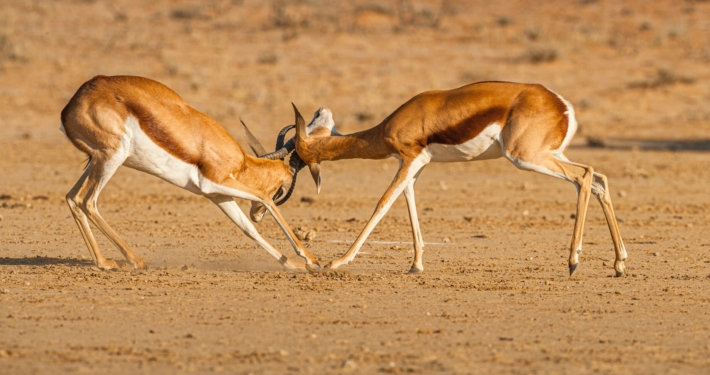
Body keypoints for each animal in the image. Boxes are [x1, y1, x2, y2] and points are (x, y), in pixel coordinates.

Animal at [61, 75, 322, 272]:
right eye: (282, 189)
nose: (256, 215)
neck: (242, 163)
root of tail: (70, 107)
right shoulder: (214, 182)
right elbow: (264, 198)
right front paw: (312, 261)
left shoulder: (217, 194)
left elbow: (248, 229)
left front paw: (295, 265)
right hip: (111, 158)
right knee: (88, 201)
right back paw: (133, 261)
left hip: (96, 161)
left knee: (72, 198)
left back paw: (103, 262)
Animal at [249, 81, 628, 276]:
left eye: (295, 157)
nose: (258, 212)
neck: (389, 126)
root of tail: (561, 105)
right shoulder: (416, 165)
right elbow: (409, 204)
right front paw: (416, 265)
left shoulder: (408, 159)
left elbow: (382, 203)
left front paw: (337, 261)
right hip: (549, 155)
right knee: (599, 179)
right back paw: (619, 263)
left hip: (526, 157)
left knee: (584, 176)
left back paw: (574, 261)